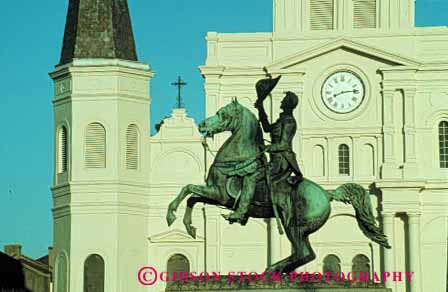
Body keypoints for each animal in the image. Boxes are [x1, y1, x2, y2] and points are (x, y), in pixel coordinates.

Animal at [166, 99, 390, 272]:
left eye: (222, 113)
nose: (203, 124)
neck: (235, 158)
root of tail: (327, 194)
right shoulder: (216, 197)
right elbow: (191, 196)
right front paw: (188, 225)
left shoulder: (219, 194)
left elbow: (188, 188)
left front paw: (171, 215)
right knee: (304, 254)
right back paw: (274, 269)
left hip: (294, 226)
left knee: (304, 253)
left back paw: (273, 269)